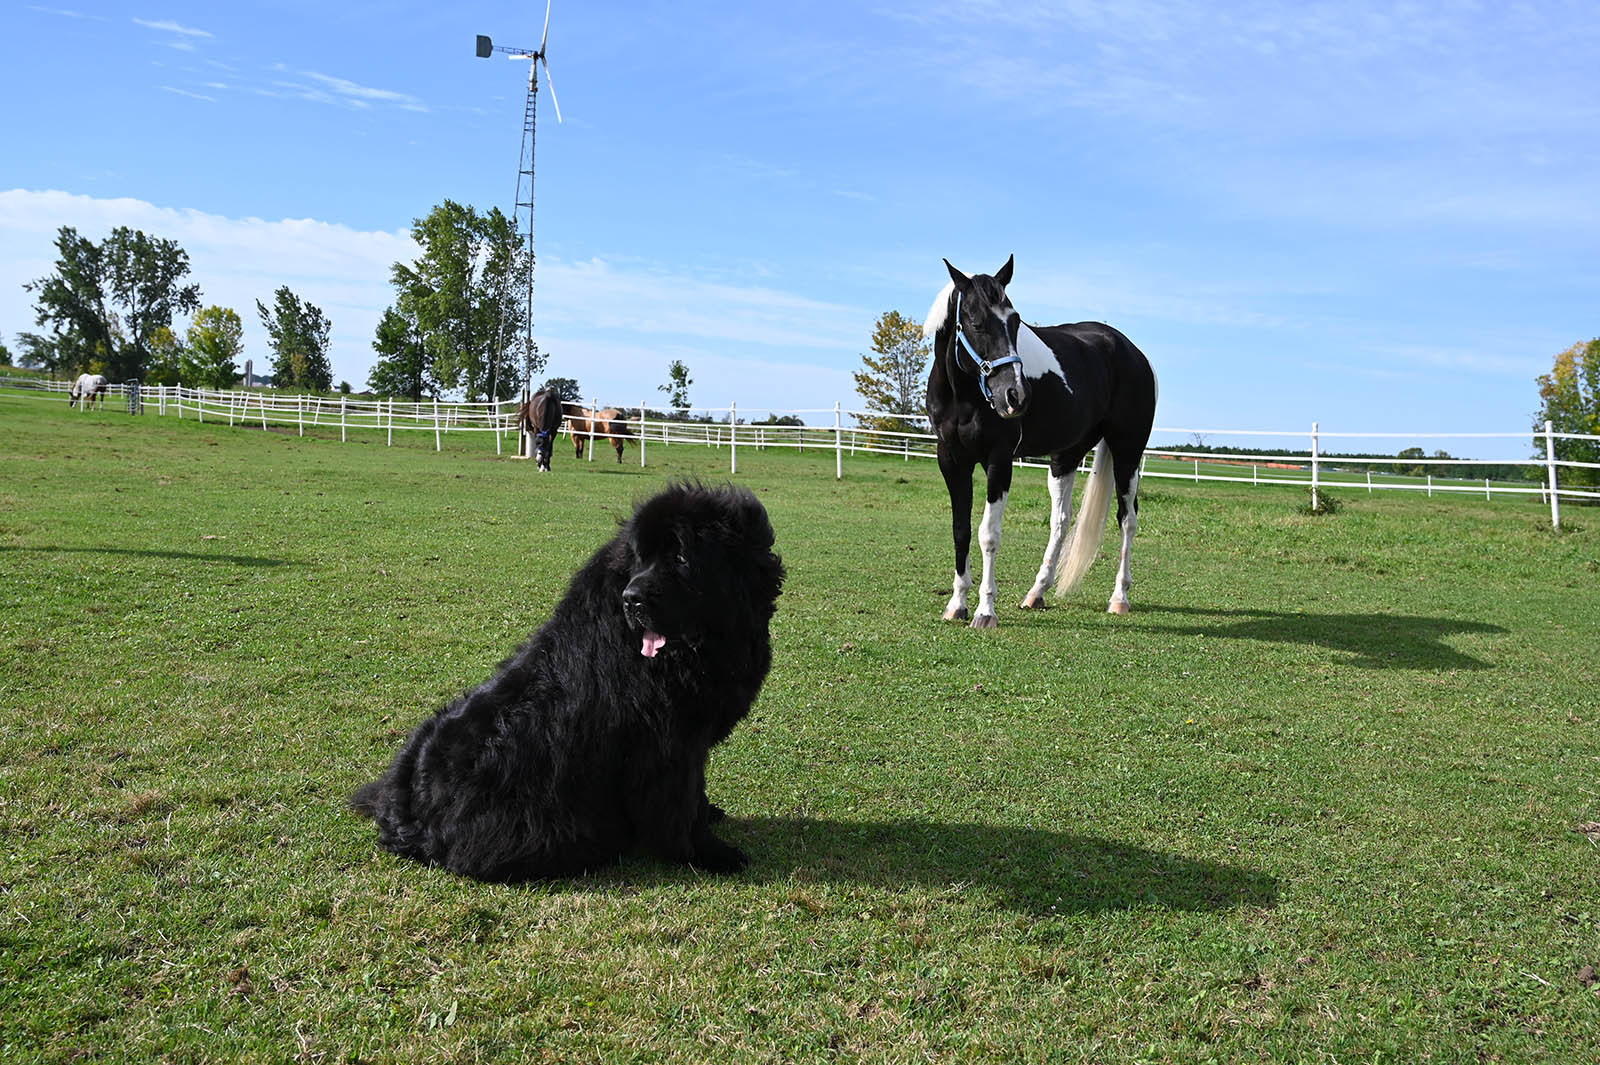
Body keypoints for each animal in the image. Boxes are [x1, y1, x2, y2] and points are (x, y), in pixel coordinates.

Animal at [360, 479, 790, 876]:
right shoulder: (670, 749)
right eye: (641, 560)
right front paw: (708, 853)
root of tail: (401, 811)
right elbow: (682, 807)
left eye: (681, 557)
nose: (632, 598)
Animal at [928, 255, 1164, 623]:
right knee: (1061, 521)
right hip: (1065, 456)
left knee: (1128, 520)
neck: (962, 395)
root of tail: (1131, 351)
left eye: (1015, 322)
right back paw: (1036, 592)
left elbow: (988, 534)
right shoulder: (951, 459)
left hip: (1127, 452)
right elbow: (960, 530)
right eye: (977, 323)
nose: (1016, 395)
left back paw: (1119, 597)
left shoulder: (999, 460)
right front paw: (957, 604)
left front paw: (985, 611)